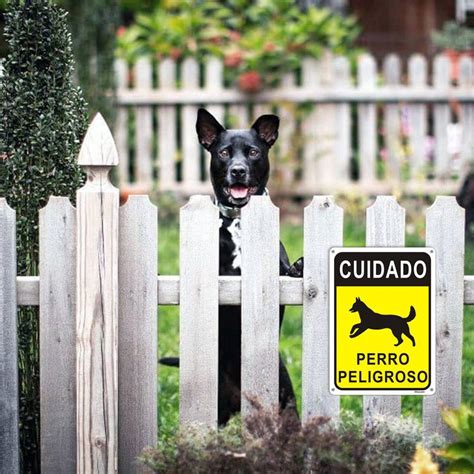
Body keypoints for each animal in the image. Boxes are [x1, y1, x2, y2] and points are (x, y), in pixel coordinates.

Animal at [162, 108, 304, 426]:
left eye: (253, 152)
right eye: (224, 152)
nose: (238, 170)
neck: (240, 221)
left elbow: (286, 270)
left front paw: (299, 267)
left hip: (286, 402)